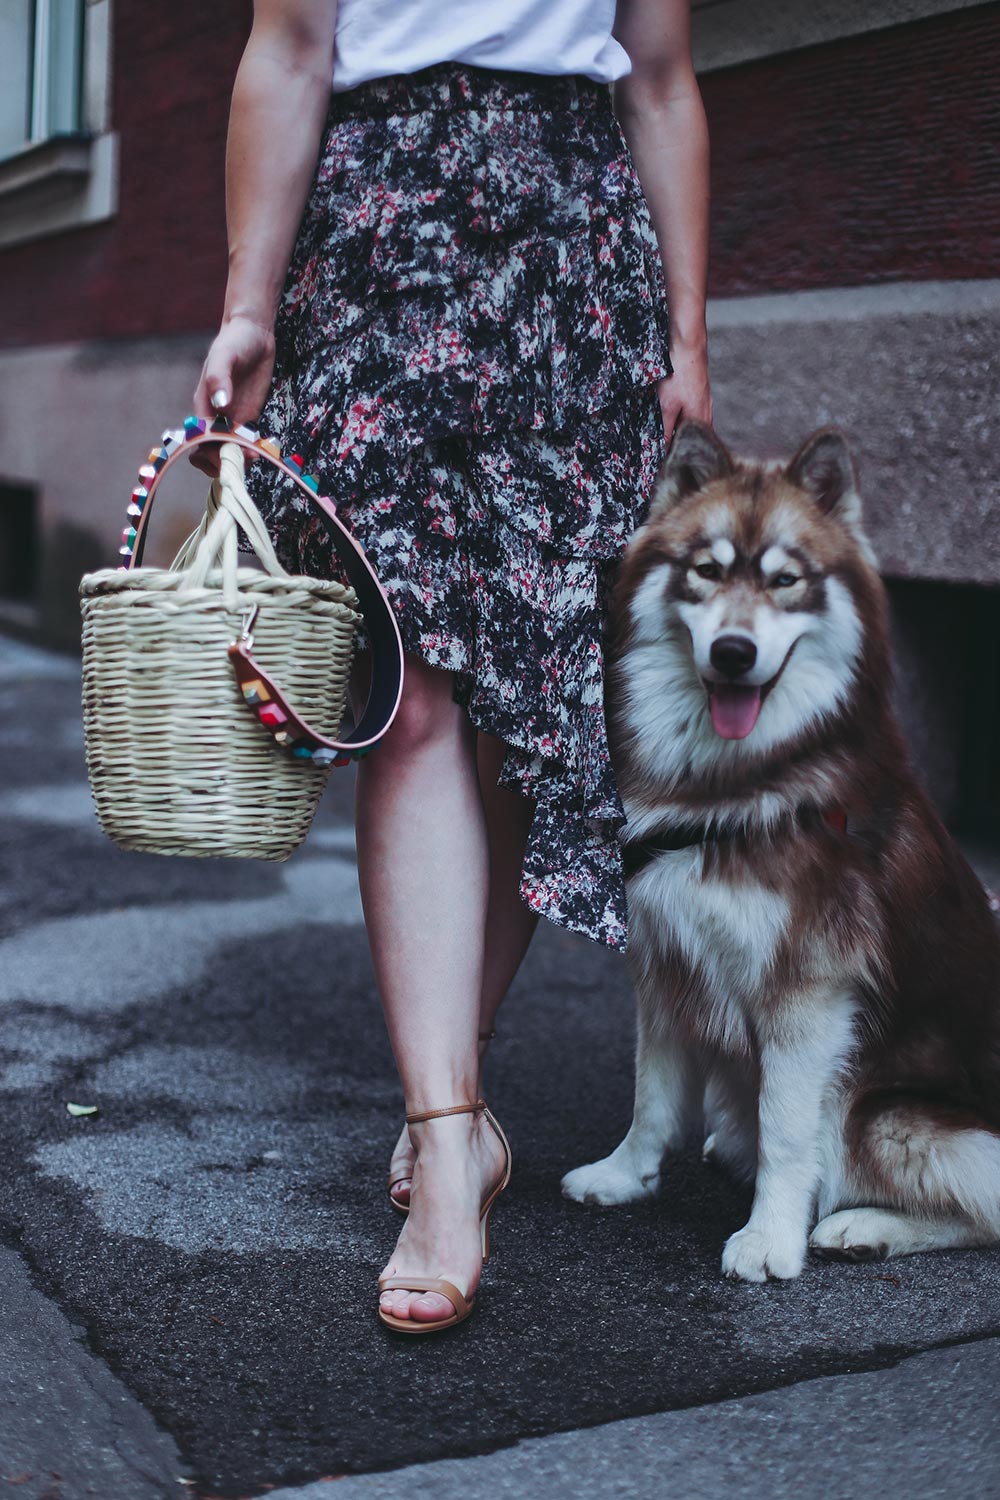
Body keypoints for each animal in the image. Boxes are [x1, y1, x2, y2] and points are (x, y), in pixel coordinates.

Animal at [563, 420, 1000, 1278]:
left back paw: (865, 1226)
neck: (728, 790)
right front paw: (625, 1176)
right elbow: (652, 1095)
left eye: (786, 580)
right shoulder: (666, 956)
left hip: (889, 1118)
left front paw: (769, 1237)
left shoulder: (809, 994)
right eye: (705, 570)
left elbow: (788, 1130)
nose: (733, 652)